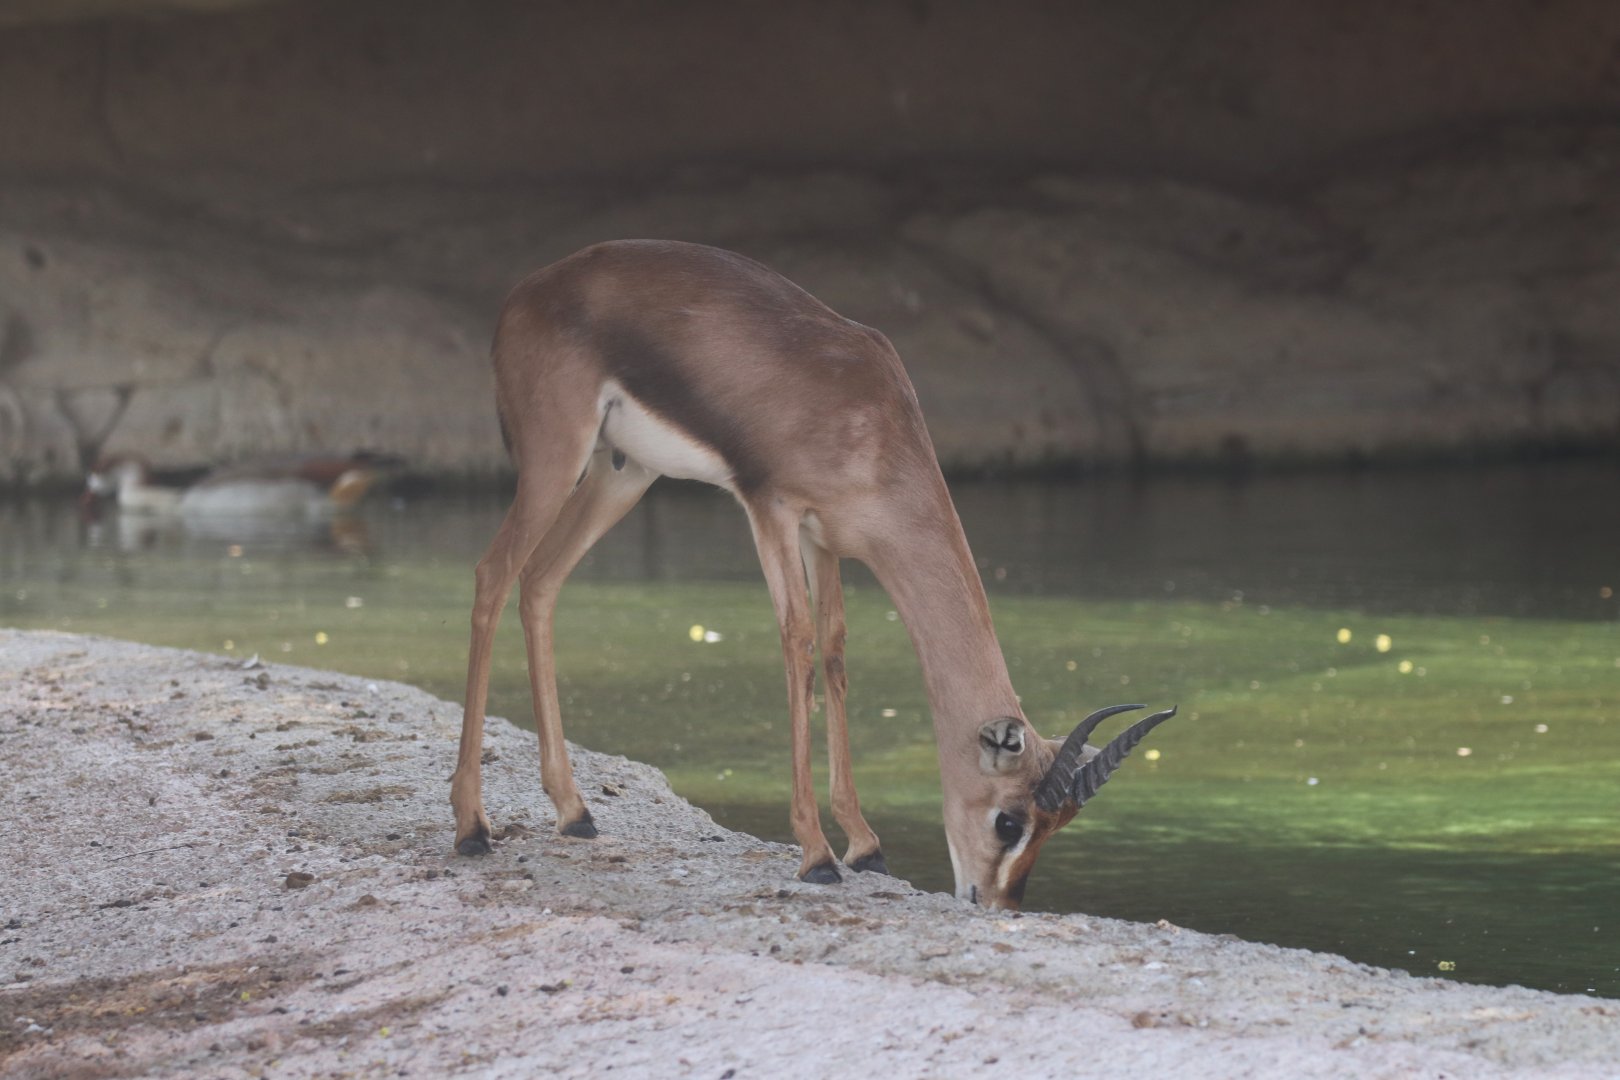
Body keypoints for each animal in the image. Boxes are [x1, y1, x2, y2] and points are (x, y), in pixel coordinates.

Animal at [451, 239, 1175, 909]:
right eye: (1008, 821)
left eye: (1057, 825)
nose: (996, 902)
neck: (871, 422)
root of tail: (527, 291)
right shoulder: (769, 507)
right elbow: (795, 641)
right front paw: (818, 855)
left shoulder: (823, 539)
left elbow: (833, 652)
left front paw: (864, 843)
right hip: (556, 456)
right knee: (492, 574)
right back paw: (471, 828)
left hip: (622, 473)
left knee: (539, 581)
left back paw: (574, 811)